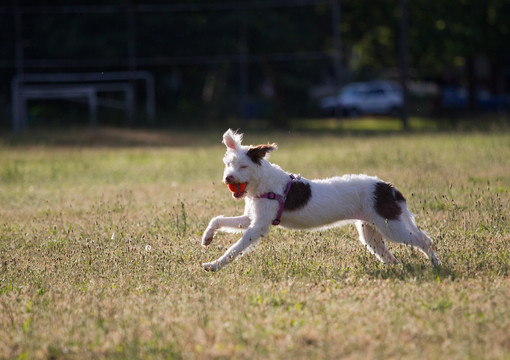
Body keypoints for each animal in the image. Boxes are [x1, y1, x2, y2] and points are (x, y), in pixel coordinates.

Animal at [202, 129, 438, 270]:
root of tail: (388, 187)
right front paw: (207, 238)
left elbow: (235, 248)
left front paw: (214, 265)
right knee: (389, 254)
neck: (263, 183)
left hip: (391, 227)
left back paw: (436, 264)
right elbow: (218, 219)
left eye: (243, 166)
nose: (228, 178)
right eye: (228, 164)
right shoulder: (251, 218)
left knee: (424, 241)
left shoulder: (259, 225)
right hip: (371, 230)